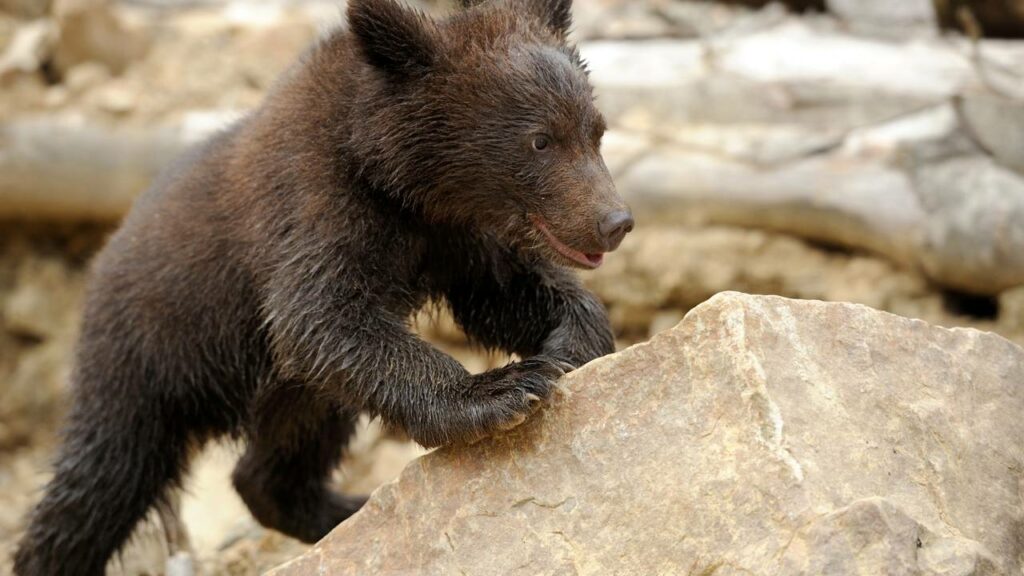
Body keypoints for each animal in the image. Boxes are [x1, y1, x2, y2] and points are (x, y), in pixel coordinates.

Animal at [13, 0, 633, 573]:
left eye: (595, 130)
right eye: (540, 140)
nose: (615, 220)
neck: (397, 181)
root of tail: (101, 261)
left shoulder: (457, 238)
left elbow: (506, 294)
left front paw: (571, 344)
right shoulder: (315, 203)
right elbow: (320, 315)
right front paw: (504, 390)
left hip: (283, 386)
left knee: (291, 442)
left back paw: (339, 508)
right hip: (147, 353)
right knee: (105, 476)